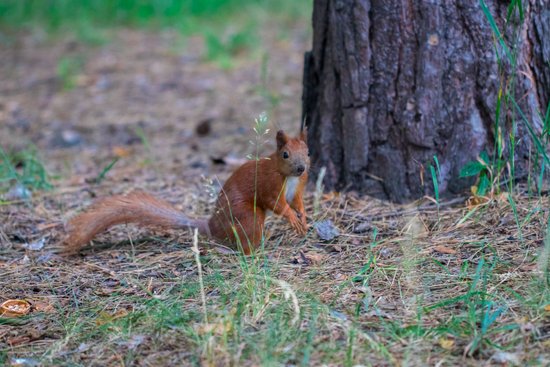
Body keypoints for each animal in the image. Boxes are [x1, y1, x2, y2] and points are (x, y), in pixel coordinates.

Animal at [63, 130, 310, 256]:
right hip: (247, 216)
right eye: (285, 154)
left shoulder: (298, 187)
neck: (288, 176)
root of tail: (212, 226)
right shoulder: (269, 184)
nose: (301, 168)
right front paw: (293, 219)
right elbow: (277, 204)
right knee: (244, 237)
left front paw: (304, 218)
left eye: (308, 151)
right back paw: (252, 252)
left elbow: (296, 202)